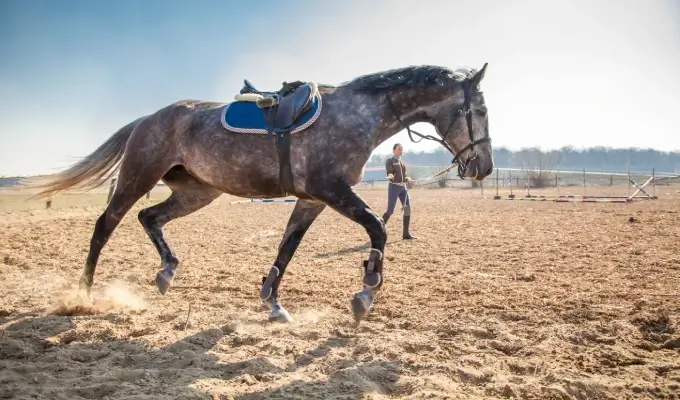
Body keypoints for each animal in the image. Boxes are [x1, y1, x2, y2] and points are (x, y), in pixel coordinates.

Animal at [29, 63, 494, 324]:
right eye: (482, 110)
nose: (484, 168)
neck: (357, 114)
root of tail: (148, 118)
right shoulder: (331, 190)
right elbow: (377, 230)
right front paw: (365, 292)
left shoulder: (312, 199)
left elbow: (286, 249)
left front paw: (272, 303)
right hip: (137, 178)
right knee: (104, 226)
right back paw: (83, 295)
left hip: (197, 192)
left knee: (150, 218)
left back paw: (166, 272)